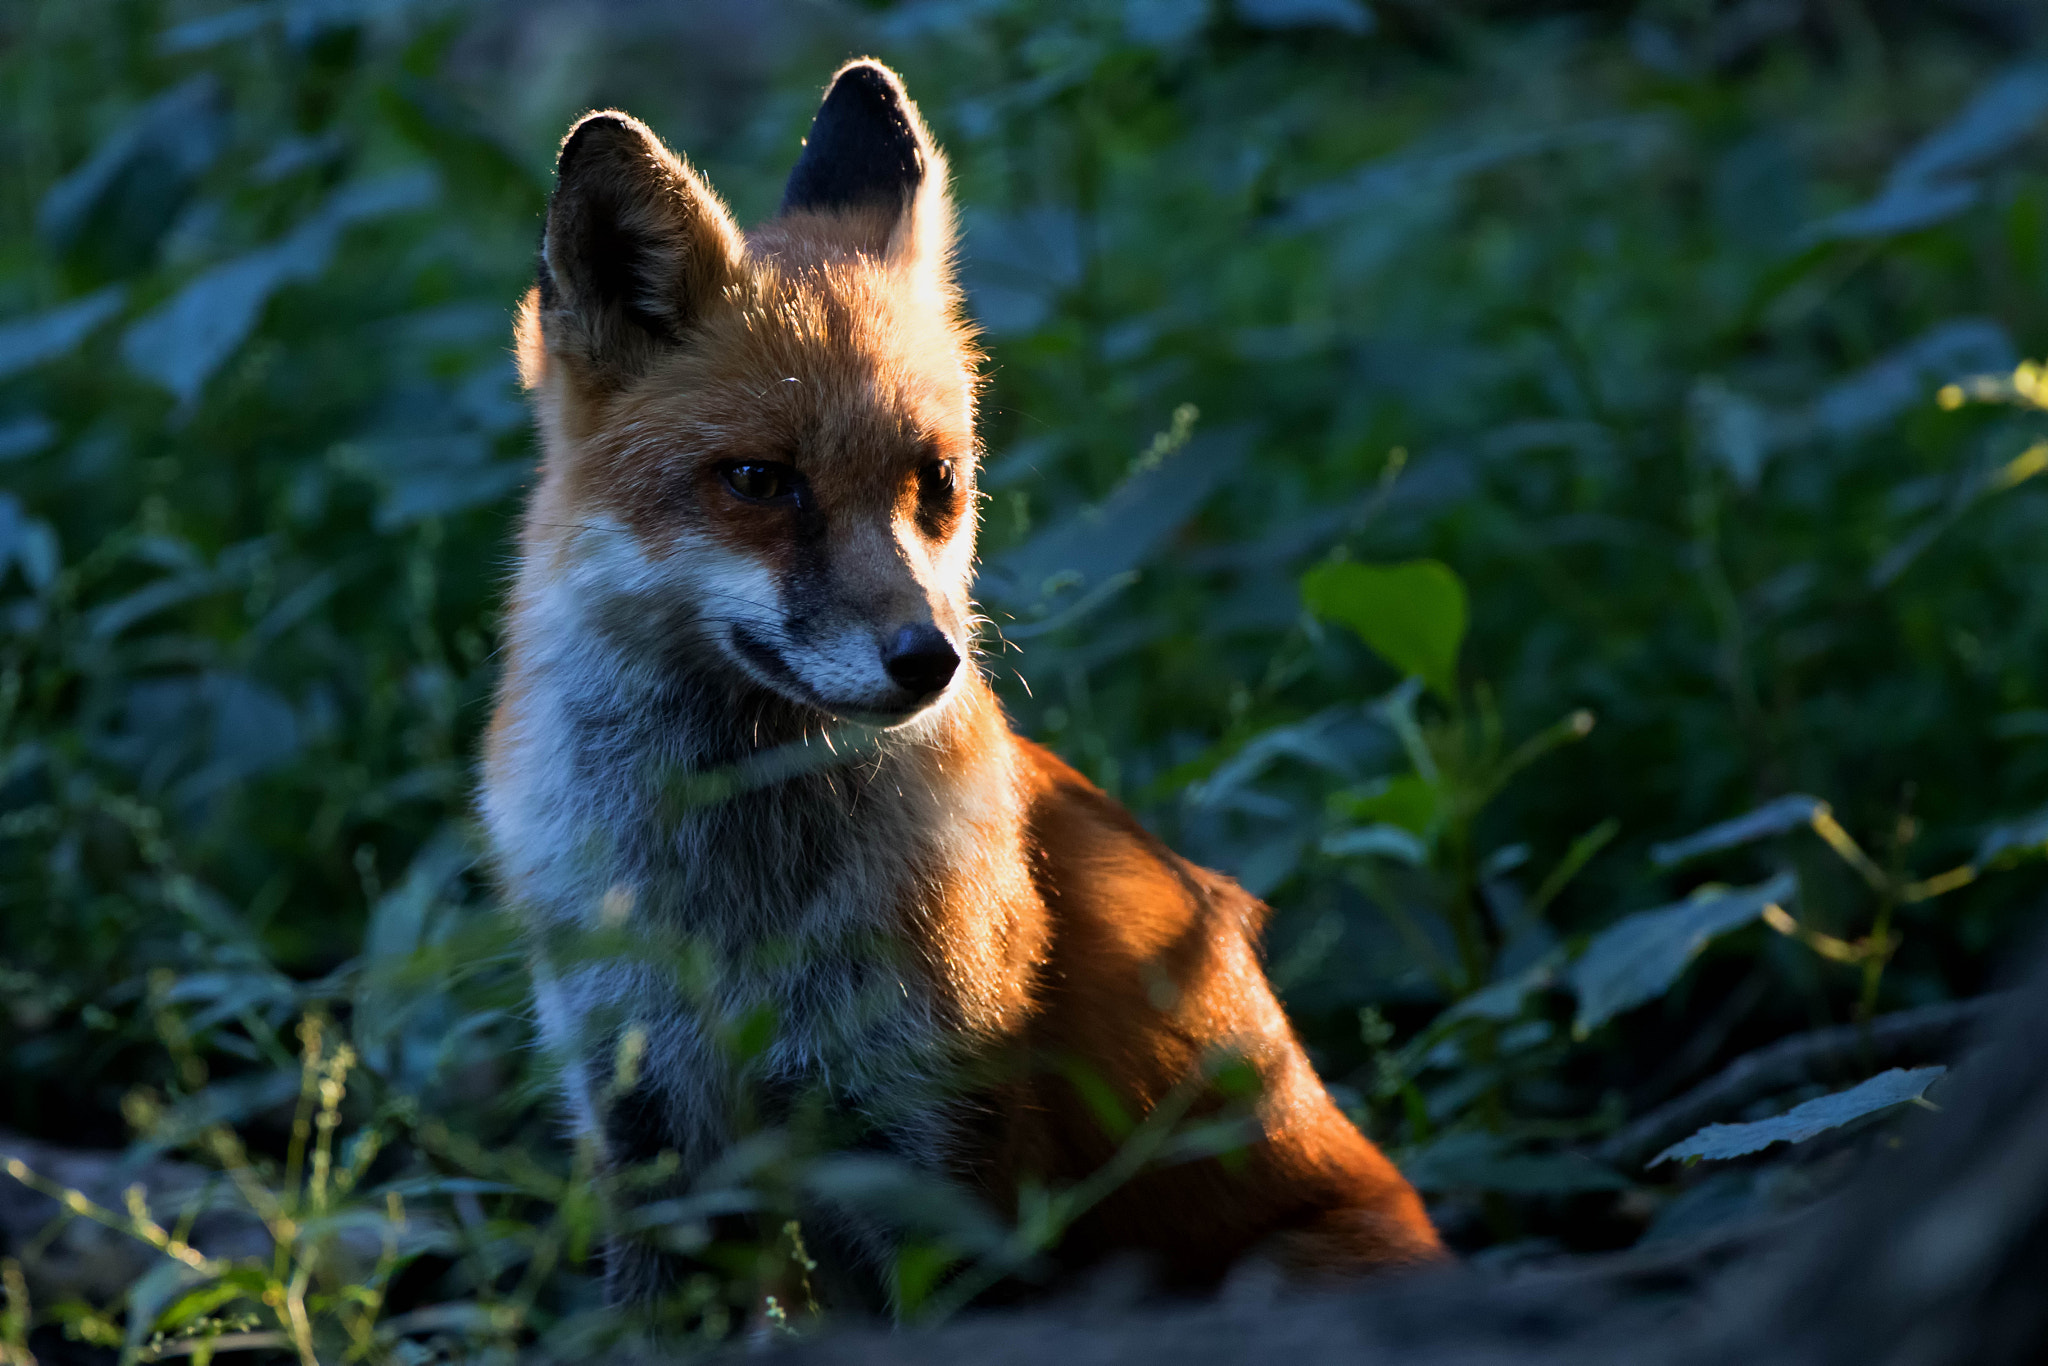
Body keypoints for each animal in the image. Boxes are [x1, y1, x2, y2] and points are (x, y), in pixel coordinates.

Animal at [479, 56, 1441, 1310]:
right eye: (758, 481)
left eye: (933, 481)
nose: (927, 658)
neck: (735, 909)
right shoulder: (644, 1134)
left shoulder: (940, 1149)